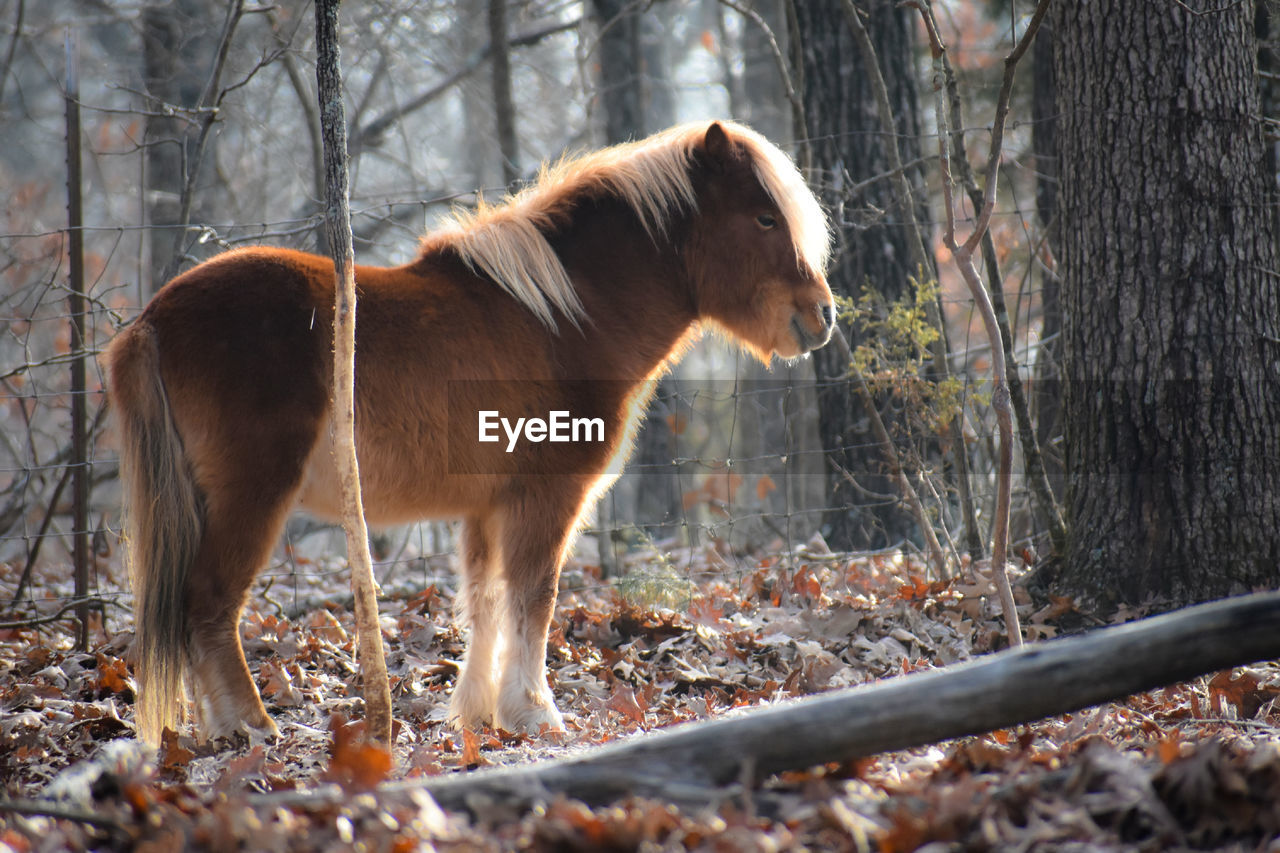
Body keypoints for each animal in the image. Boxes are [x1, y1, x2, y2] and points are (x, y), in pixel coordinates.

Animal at [104, 116, 834, 742]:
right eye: (764, 216)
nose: (822, 315)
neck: (563, 322)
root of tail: (153, 319)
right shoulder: (545, 498)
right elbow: (535, 598)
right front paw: (536, 712)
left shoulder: (486, 507)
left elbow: (484, 602)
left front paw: (480, 711)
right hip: (251, 498)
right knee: (210, 604)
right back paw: (250, 726)